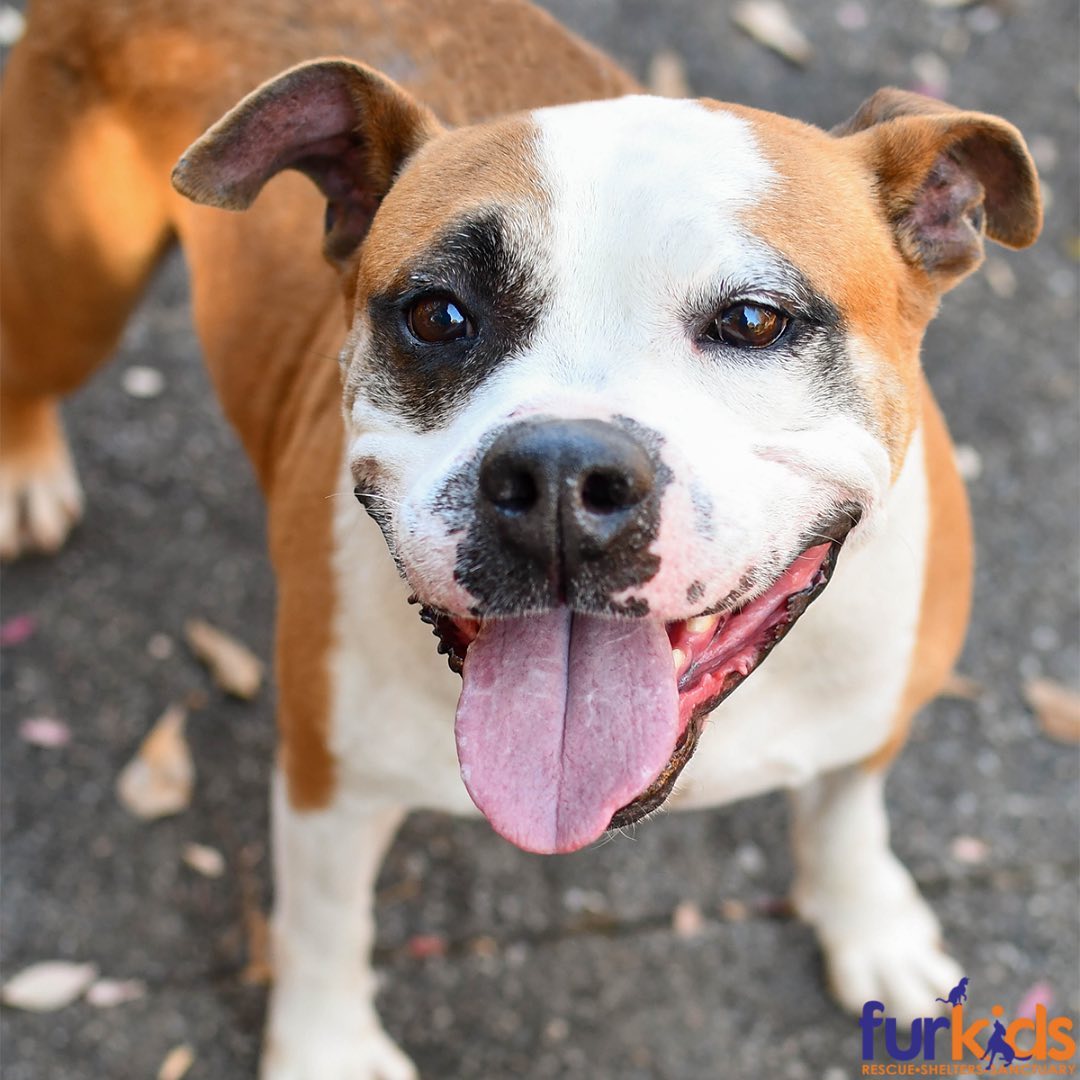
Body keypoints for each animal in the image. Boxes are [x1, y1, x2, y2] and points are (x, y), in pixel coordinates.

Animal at [2, 0, 1045, 1075]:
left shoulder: (876, 709)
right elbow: (325, 925)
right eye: (437, 314)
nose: (559, 478)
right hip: (71, 284)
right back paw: (27, 468)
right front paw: (327, 1045)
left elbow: (846, 811)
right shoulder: (330, 780)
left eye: (755, 320)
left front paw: (868, 923)